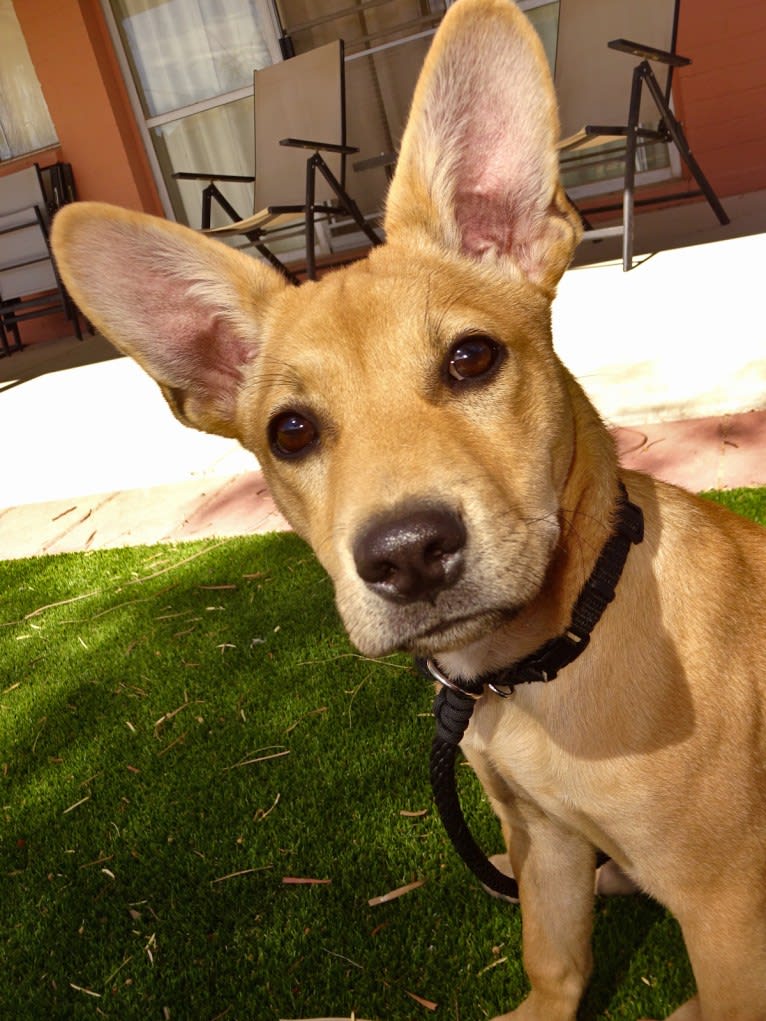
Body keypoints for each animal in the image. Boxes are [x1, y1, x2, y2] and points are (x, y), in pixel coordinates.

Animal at [51, 3, 763, 1016]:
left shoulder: (725, 902)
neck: (549, 656)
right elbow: (554, 957)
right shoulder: (539, 839)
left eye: (471, 358)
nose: (408, 554)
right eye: (291, 432)